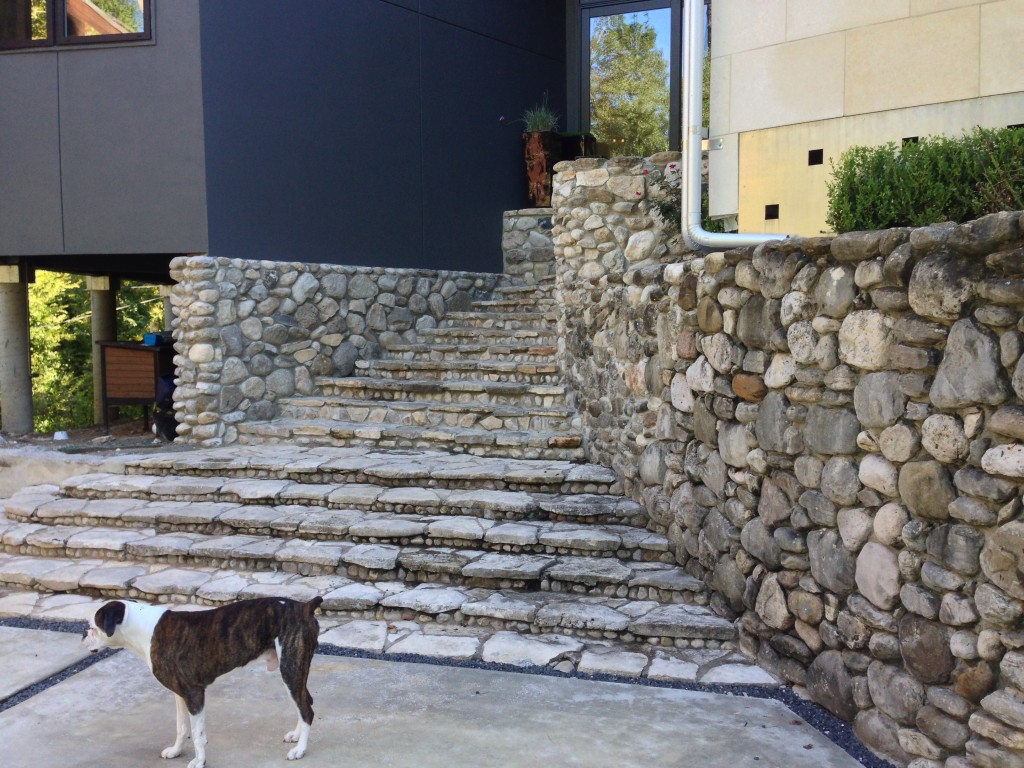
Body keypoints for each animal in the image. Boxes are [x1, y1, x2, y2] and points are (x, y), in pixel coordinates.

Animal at [84, 598, 319, 768]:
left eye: (93, 627)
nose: (83, 635)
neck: (144, 629)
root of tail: (304, 606)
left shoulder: (194, 694)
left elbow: (197, 735)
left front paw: (199, 761)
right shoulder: (180, 694)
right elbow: (181, 728)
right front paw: (176, 751)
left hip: (290, 669)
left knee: (306, 710)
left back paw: (300, 750)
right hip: (294, 673)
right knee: (304, 702)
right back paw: (297, 736)